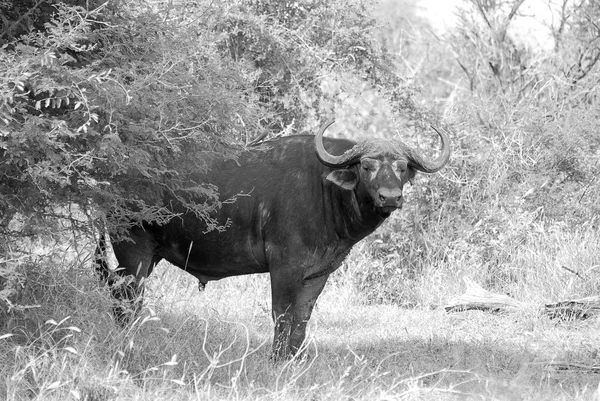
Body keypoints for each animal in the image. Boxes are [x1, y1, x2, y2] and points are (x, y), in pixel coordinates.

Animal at [95, 119, 450, 360]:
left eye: (403, 167)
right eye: (366, 165)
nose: (390, 197)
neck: (324, 190)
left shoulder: (318, 274)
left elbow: (302, 317)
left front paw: (295, 358)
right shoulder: (284, 267)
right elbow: (282, 313)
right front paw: (277, 359)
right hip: (133, 250)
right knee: (126, 296)